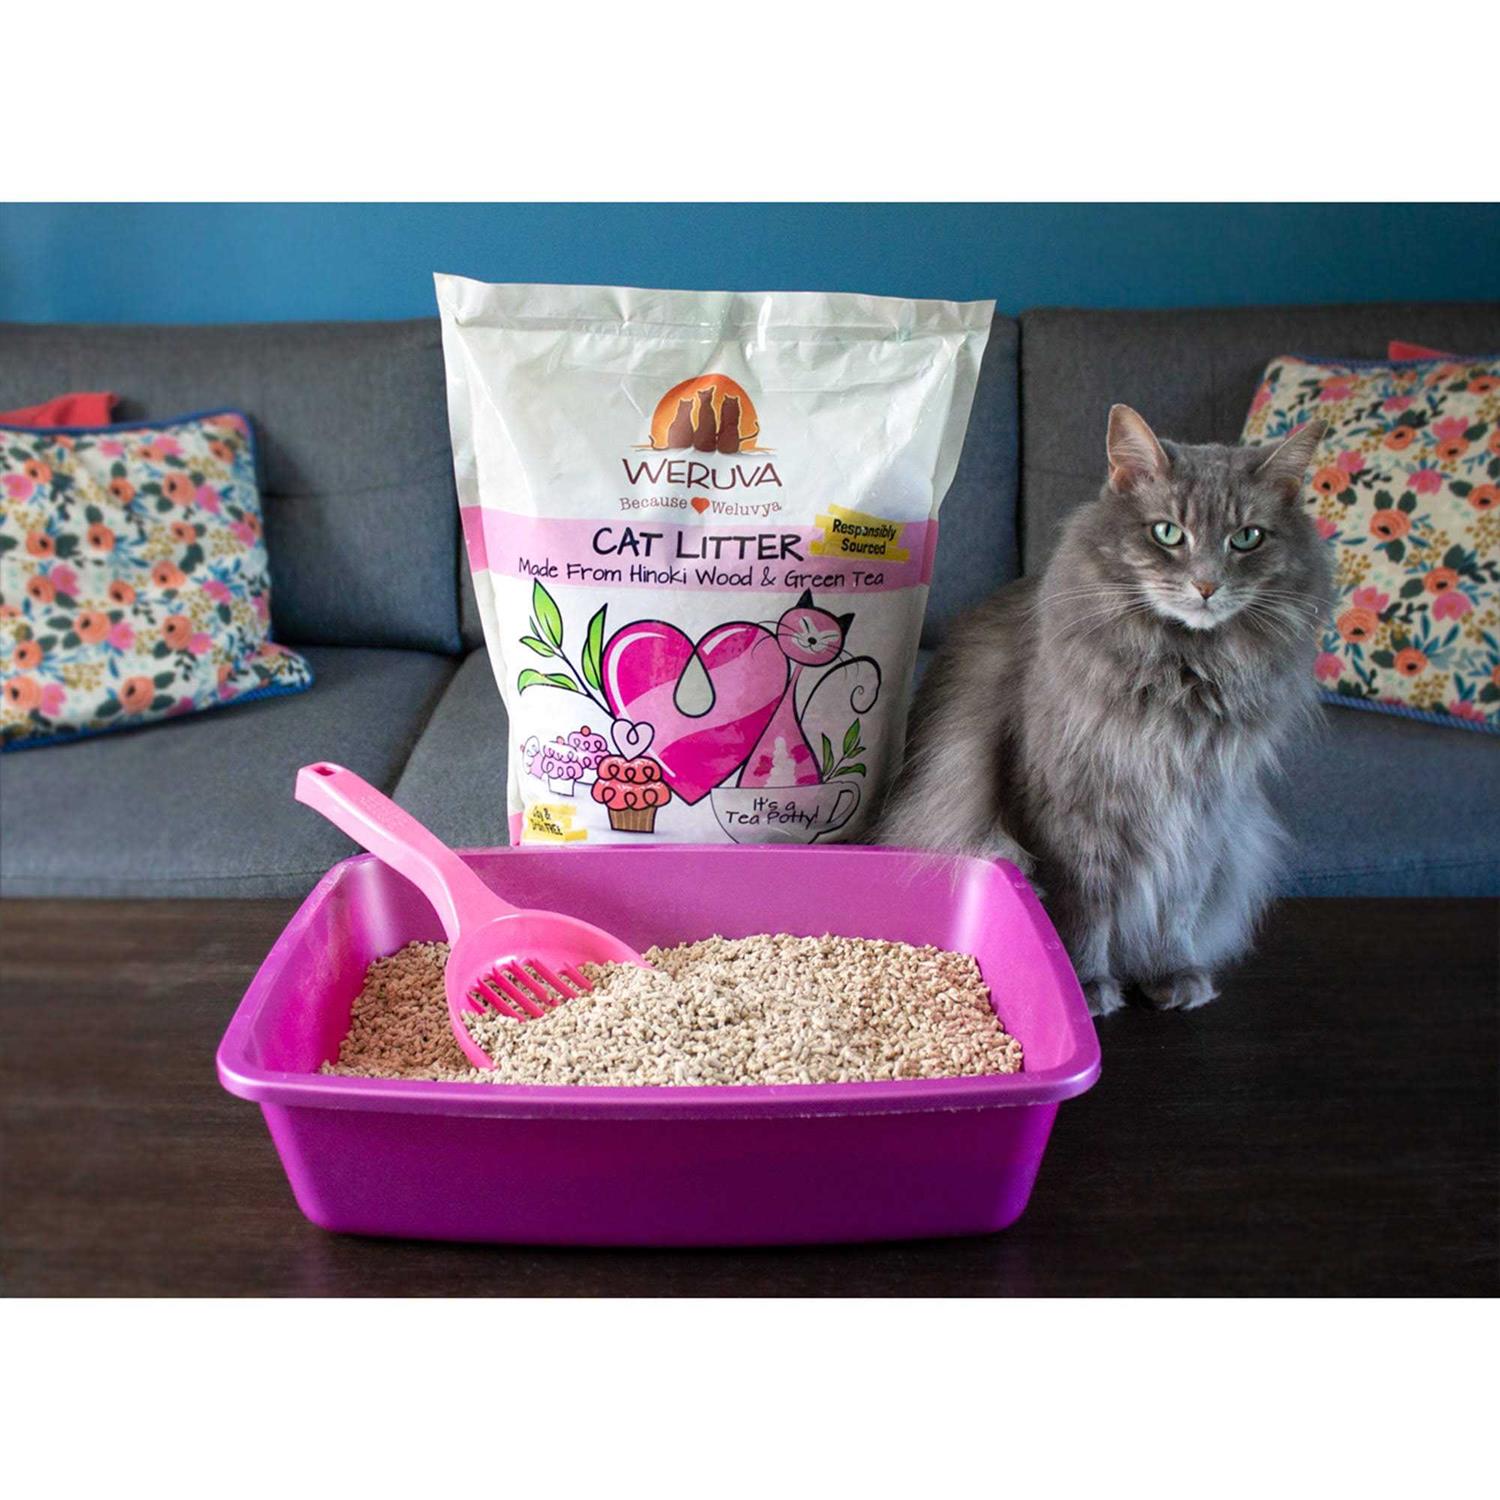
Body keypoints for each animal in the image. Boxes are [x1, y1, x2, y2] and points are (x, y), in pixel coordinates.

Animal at [879, 405, 1331, 1015]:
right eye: (1167, 532)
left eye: (1247, 538)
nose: (1206, 585)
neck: (1183, 680)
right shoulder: (1071, 810)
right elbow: (1084, 907)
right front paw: (1085, 983)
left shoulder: (1201, 813)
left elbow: (1176, 904)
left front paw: (1172, 974)